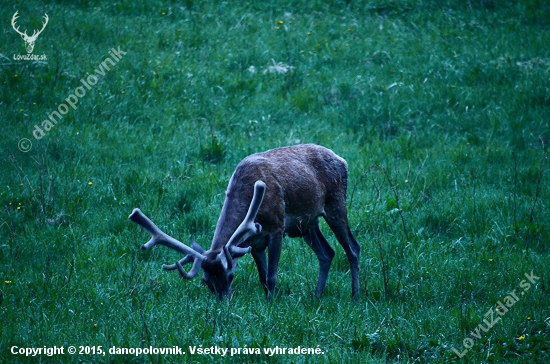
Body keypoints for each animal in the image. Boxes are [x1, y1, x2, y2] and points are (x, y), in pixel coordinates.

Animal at [129, 144, 362, 300]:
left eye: (231, 276)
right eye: (206, 281)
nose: (223, 305)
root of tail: (342, 160)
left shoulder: (277, 228)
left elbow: (272, 277)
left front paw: (271, 305)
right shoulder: (255, 243)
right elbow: (262, 279)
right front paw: (267, 301)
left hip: (335, 203)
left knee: (353, 248)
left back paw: (355, 296)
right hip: (307, 225)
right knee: (327, 253)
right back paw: (317, 296)